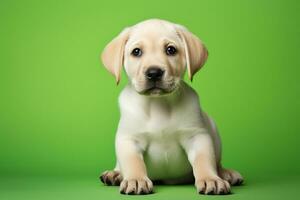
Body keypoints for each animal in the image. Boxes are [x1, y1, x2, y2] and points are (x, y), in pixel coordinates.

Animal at [99, 19, 243, 195]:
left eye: (171, 50)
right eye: (136, 52)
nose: (154, 72)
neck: (158, 104)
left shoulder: (197, 137)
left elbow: (204, 160)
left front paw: (211, 179)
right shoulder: (129, 140)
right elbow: (133, 162)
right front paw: (136, 179)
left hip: (213, 129)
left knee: (217, 162)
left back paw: (226, 173)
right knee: (120, 165)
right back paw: (115, 174)